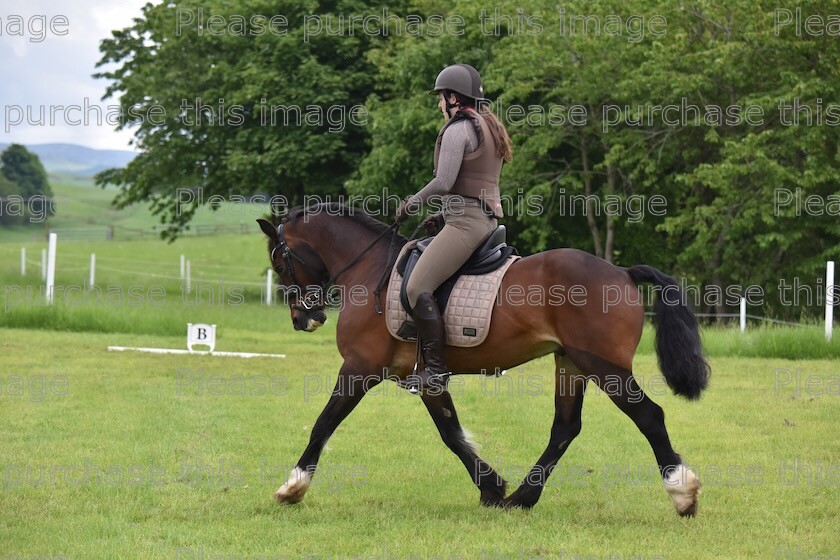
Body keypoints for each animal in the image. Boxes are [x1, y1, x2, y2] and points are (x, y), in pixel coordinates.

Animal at [256, 201, 708, 516]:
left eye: (279, 259)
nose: (304, 319)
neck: (369, 270)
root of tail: (622, 273)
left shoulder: (359, 368)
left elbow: (323, 423)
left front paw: (292, 487)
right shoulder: (426, 378)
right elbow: (451, 434)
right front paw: (491, 487)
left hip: (604, 367)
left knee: (649, 416)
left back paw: (682, 493)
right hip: (571, 365)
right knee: (565, 429)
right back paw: (522, 498)